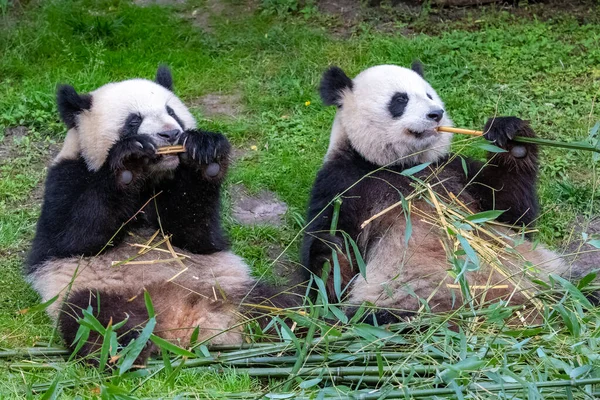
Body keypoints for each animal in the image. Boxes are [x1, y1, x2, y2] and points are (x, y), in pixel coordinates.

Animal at [28, 67, 296, 364]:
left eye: (172, 111)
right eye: (133, 120)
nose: (171, 134)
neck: (151, 178)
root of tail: (185, 325)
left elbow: (196, 234)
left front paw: (207, 155)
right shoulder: (65, 179)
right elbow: (76, 236)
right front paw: (129, 162)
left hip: (233, 287)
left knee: (281, 306)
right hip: (96, 290)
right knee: (96, 319)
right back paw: (127, 351)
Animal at [302, 63, 596, 324]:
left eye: (429, 94)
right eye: (400, 99)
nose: (437, 114)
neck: (402, 165)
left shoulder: (453, 170)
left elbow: (512, 215)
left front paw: (513, 138)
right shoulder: (343, 182)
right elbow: (331, 268)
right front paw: (330, 262)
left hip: (547, 275)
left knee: (583, 287)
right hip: (404, 305)